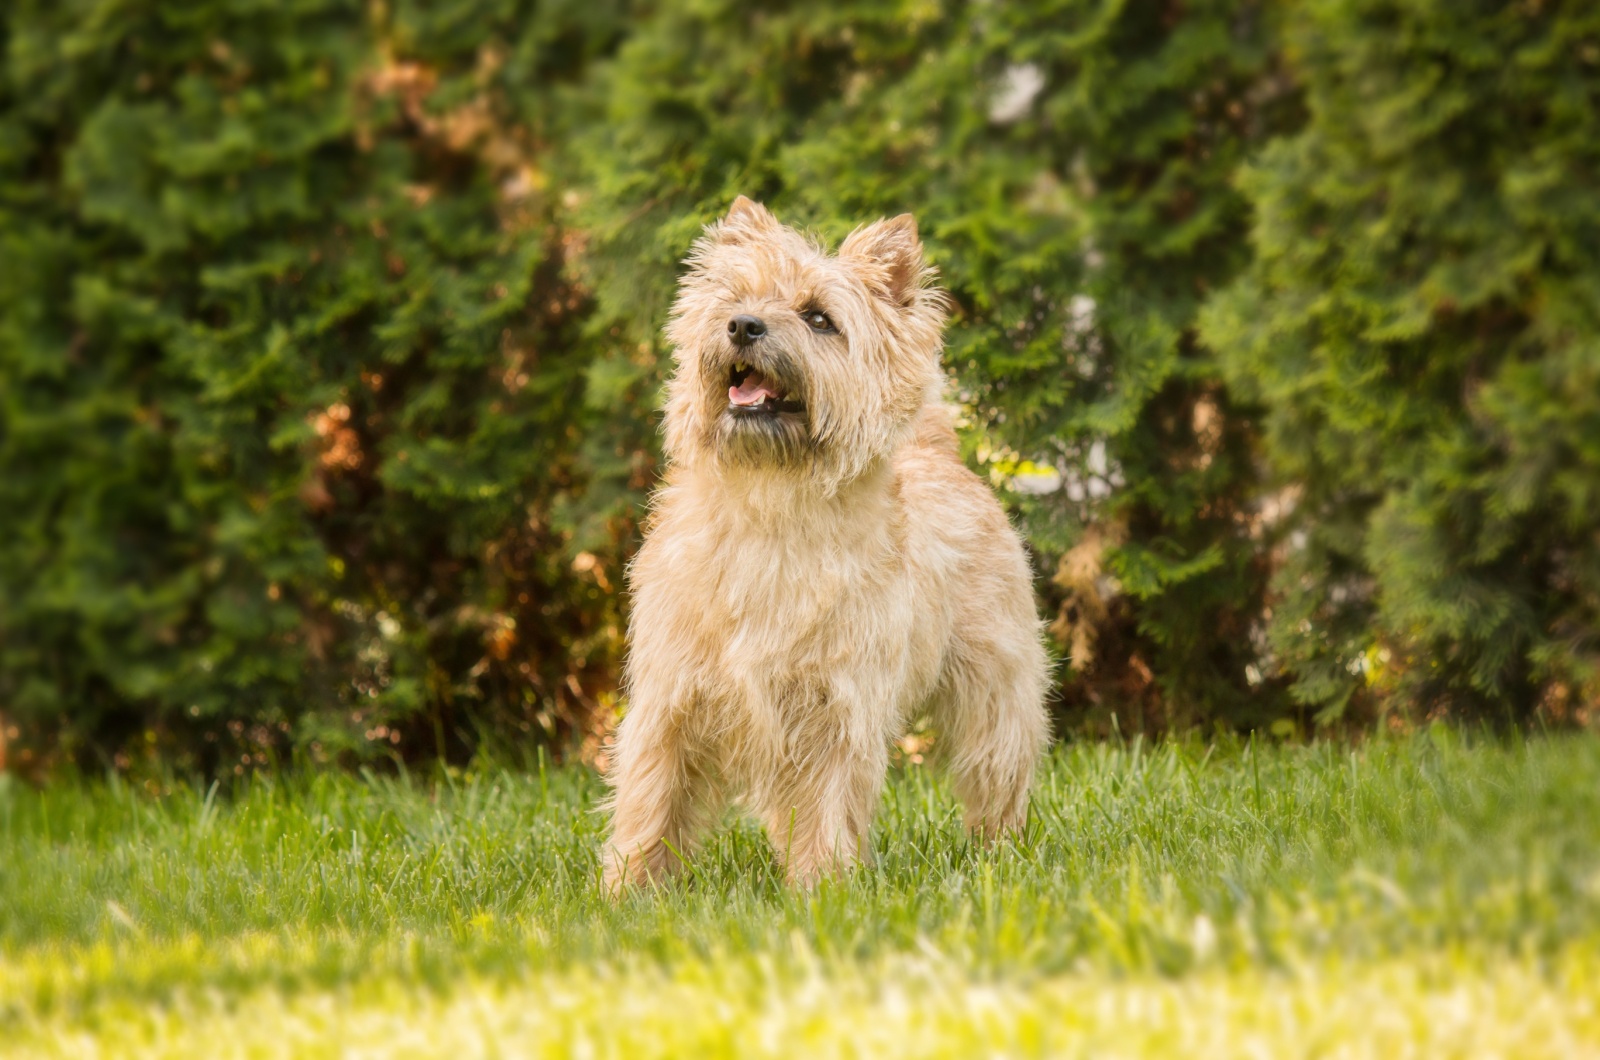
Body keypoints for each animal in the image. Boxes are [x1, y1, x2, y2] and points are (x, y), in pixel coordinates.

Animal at [601, 196, 1049, 890]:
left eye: (819, 319)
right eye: (737, 298)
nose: (743, 325)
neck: (770, 508)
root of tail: (939, 451)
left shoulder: (837, 709)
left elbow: (826, 805)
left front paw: (822, 892)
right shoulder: (670, 698)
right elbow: (653, 799)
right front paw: (628, 893)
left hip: (994, 686)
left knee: (997, 766)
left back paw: (1001, 852)